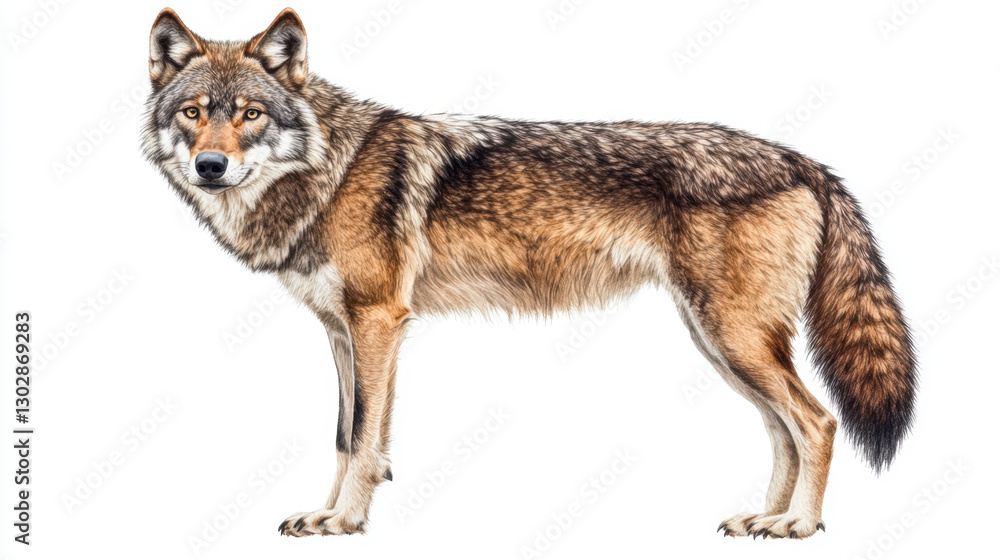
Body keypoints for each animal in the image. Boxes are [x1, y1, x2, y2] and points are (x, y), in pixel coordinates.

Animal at [142, 8, 917, 539]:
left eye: (249, 115)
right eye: (193, 113)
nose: (211, 166)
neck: (328, 170)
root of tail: (805, 160)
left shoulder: (378, 323)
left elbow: (364, 441)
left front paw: (345, 523)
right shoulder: (340, 332)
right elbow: (344, 437)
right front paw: (327, 514)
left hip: (735, 340)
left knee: (818, 421)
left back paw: (798, 527)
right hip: (722, 344)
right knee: (785, 430)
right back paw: (764, 517)